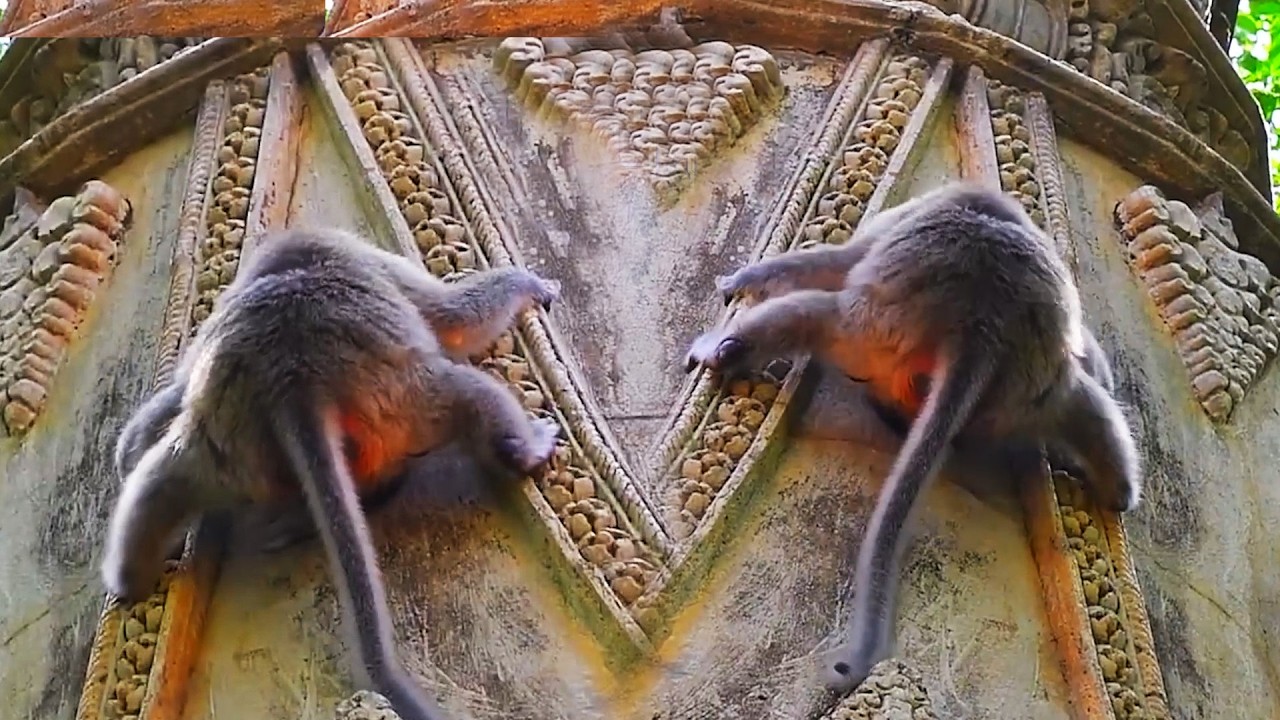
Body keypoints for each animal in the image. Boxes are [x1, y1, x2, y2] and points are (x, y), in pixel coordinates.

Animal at [103, 228, 564, 720]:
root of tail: (296, 387)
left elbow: (173, 396)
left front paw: (133, 445)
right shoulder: (363, 255)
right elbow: (454, 315)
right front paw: (530, 286)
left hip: (227, 450)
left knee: (164, 480)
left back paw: (131, 579)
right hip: (402, 400)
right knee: (467, 392)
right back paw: (523, 450)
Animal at [684, 181, 1141, 693]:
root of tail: (982, 331)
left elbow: (836, 261)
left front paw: (739, 280)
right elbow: (1093, 365)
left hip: (882, 323)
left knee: (826, 313)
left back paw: (726, 350)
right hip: (1030, 386)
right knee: (1080, 401)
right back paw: (1117, 488)